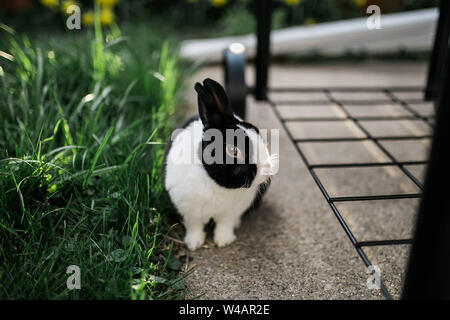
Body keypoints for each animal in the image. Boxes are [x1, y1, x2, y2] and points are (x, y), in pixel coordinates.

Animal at [163, 77, 274, 250]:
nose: (268, 169)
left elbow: (224, 225)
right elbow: (194, 227)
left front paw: (224, 241)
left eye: (258, 132)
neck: (216, 184)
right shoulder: (189, 212)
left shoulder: (229, 213)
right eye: (232, 150)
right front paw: (193, 244)